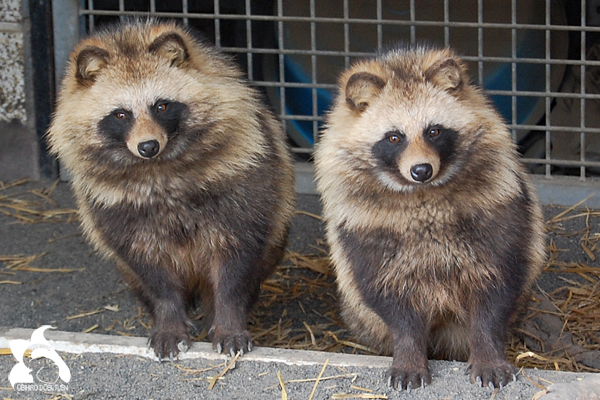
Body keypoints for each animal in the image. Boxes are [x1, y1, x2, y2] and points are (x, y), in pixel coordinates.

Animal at [48, 21, 296, 360]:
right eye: (121, 114)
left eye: (162, 106)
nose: (148, 146)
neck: (158, 169)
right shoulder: (114, 207)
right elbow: (151, 271)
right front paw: (168, 319)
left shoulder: (244, 183)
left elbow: (235, 264)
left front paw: (228, 319)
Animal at [316, 44, 548, 390]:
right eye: (394, 137)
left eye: (434, 131)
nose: (421, 170)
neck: (422, 196)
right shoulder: (362, 230)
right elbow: (390, 301)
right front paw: (409, 353)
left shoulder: (499, 210)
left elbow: (496, 288)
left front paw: (488, 351)